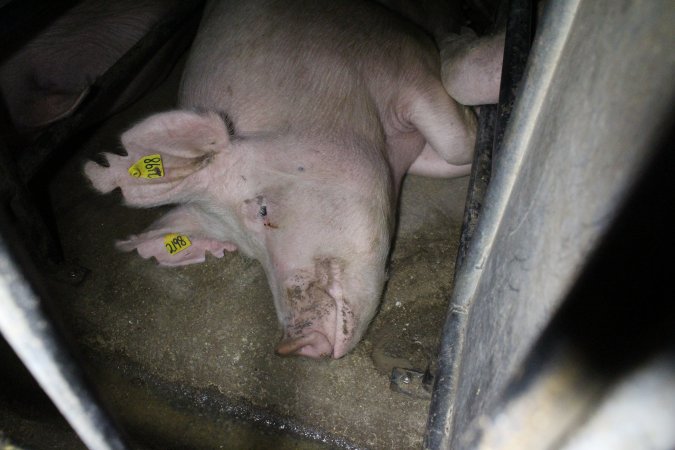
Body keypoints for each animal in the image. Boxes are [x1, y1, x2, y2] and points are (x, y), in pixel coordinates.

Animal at [86, 0, 502, 358]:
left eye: (263, 209)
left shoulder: (401, 53)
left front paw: (462, 43)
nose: (290, 346)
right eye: (245, 251)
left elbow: (458, 141)